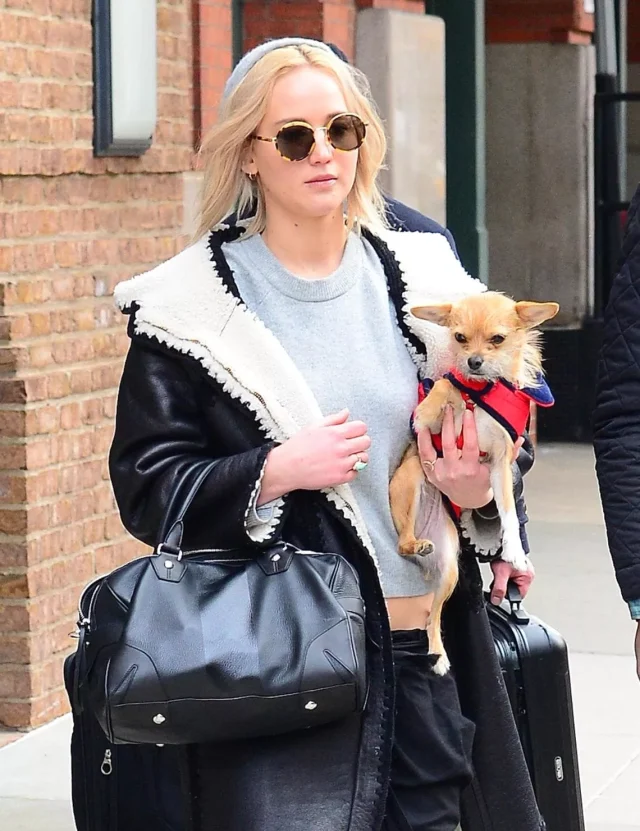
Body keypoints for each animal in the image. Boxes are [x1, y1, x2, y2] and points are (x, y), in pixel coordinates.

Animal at [389, 292, 559, 674]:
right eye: (459, 338)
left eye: (497, 339)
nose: (473, 361)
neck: (481, 391)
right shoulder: (436, 425)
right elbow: (444, 384)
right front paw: (435, 400)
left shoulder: (499, 466)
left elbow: (508, 512)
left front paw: (513, 550)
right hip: (410, 480)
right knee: (402, 544)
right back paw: (414, 543)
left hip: (450, 572)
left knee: (433, 615)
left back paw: (438, 655)